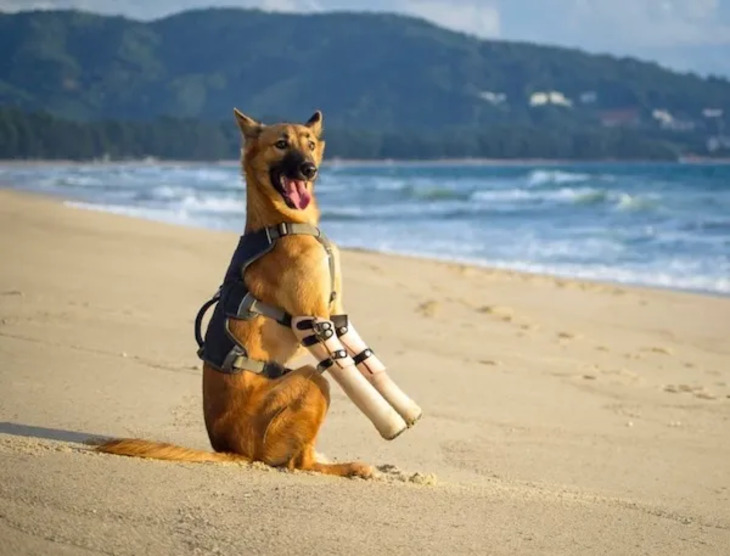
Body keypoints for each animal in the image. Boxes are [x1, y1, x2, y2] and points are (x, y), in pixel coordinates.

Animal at [96, 109, 376, 478]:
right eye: (281, 144)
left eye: (311, 144)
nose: (308, 169)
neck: (282, 222)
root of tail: (230, 449)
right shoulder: (314, 317)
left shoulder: (334, 310)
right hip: (311, 381)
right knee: (299, 462)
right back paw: (347, 467)